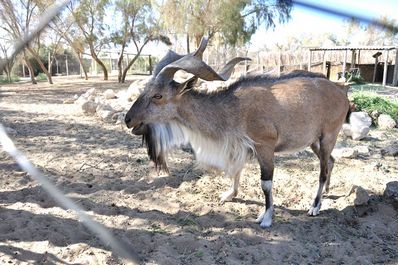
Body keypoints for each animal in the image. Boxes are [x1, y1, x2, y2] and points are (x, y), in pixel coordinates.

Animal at [124, 37, 348, 227]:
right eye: (145, 90)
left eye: (158, 95)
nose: (128, 119)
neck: (235, 108)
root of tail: (342, 93)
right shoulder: (242, 147)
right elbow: (236, 171)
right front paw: (229, 195)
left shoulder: (264, 147)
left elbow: (265, 184)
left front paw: (266, 218)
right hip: (314, 142)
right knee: (330, 162)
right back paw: (327, 193)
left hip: (328, 136)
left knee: (322, 171)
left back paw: (315, 206)